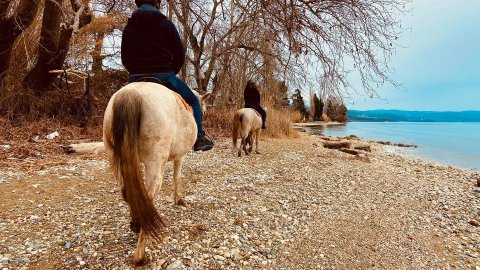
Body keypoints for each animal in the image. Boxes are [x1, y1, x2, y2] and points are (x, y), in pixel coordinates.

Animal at [102, 81, 209, 264]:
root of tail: (130, 94)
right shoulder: (180, 157)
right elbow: (177, 177)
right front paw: (179, 200)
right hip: (155, 165)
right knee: (148, 200)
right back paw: (140, 256)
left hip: (115, 160)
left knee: (130, 193)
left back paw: (136, 225)